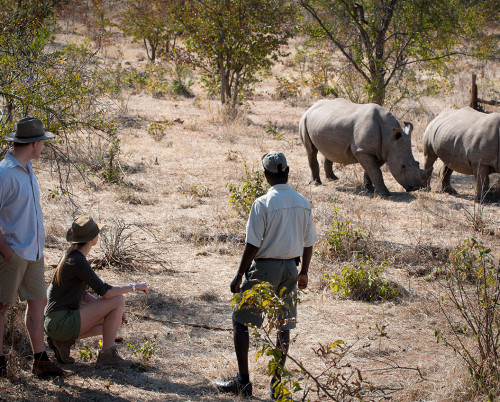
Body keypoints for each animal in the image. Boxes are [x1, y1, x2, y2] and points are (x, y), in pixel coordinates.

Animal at [298, 99, 432, 196]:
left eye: (417, 163)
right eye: (403, 166)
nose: (415, 188)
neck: (390, 137)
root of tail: (311, 107)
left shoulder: (381, 152)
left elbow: (372, 171)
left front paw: (369, 189)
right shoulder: (363, 151)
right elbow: (376, 172)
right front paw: (386, 194)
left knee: (330, 150)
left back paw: (333, 179)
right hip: (304, 119)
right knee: (311, 150)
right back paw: (316, 183)